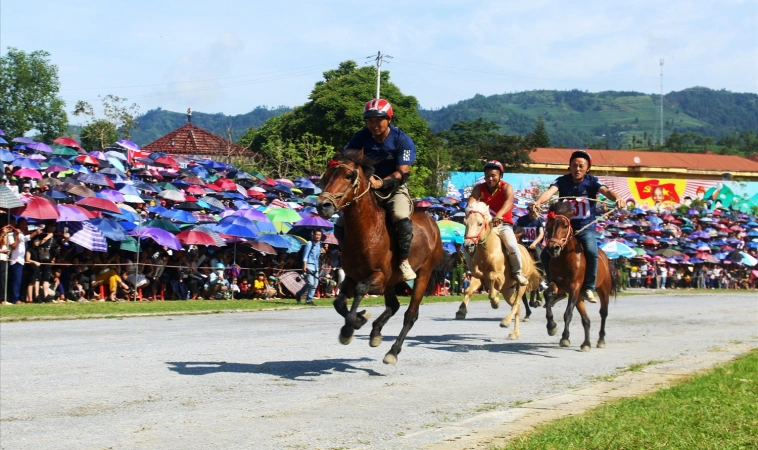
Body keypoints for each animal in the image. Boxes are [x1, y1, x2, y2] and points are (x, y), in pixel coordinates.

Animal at [316, 151, 446, 366]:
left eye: (348, 176)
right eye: (326, 176)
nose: (323, 206)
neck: (366, 231)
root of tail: (432, 222)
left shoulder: (378, 278)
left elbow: (361, 289)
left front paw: (350, 327)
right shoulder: (351, 277)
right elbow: (339, 303)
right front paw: (359, 319)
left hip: (423, 274)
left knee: (410, 314)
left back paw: (393, 351)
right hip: (393, 281)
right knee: (393, 305)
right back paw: (375, 332)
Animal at [454, 202, 536, 340]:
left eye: (480, 223)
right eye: (465, 223)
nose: (468, 245)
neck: (487, 251)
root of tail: (527, 253)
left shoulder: (499, 277)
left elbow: (492, 281)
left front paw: (495, 301)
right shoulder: (477, 277)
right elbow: (469, 290)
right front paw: (461, 311)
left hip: (521, 286)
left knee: (517, 304)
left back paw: (506, 322)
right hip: (508, 290)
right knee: (517, 306)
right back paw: (515, 333)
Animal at [544, 201, 616, 352]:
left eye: (565, 226)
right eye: (547, 225)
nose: (553, 248)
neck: (565, 257)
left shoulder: (574, 287)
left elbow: (567, 313)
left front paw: (564, 338)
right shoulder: (558, 284)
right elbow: (547, 295)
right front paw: (551, 326)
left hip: (603, 290)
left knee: (603, 313)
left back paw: (601, 340)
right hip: (579, 298)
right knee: (586, 320)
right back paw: (586, 343)